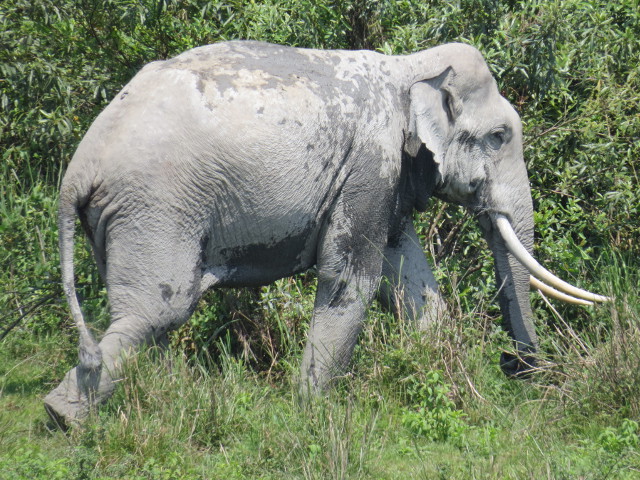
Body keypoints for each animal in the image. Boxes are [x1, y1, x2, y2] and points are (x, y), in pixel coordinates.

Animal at [43, 39, 604, 426]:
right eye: (498, 136)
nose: (516, 368)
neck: (410, 66)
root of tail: (78, 169)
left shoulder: (389, 176)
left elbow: (406, 272)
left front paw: (434, 363)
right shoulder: (370, 163)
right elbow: (352, 277)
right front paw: (312, 409)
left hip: (128, 216)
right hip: (158, 207)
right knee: (160, 310)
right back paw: (64, 417)